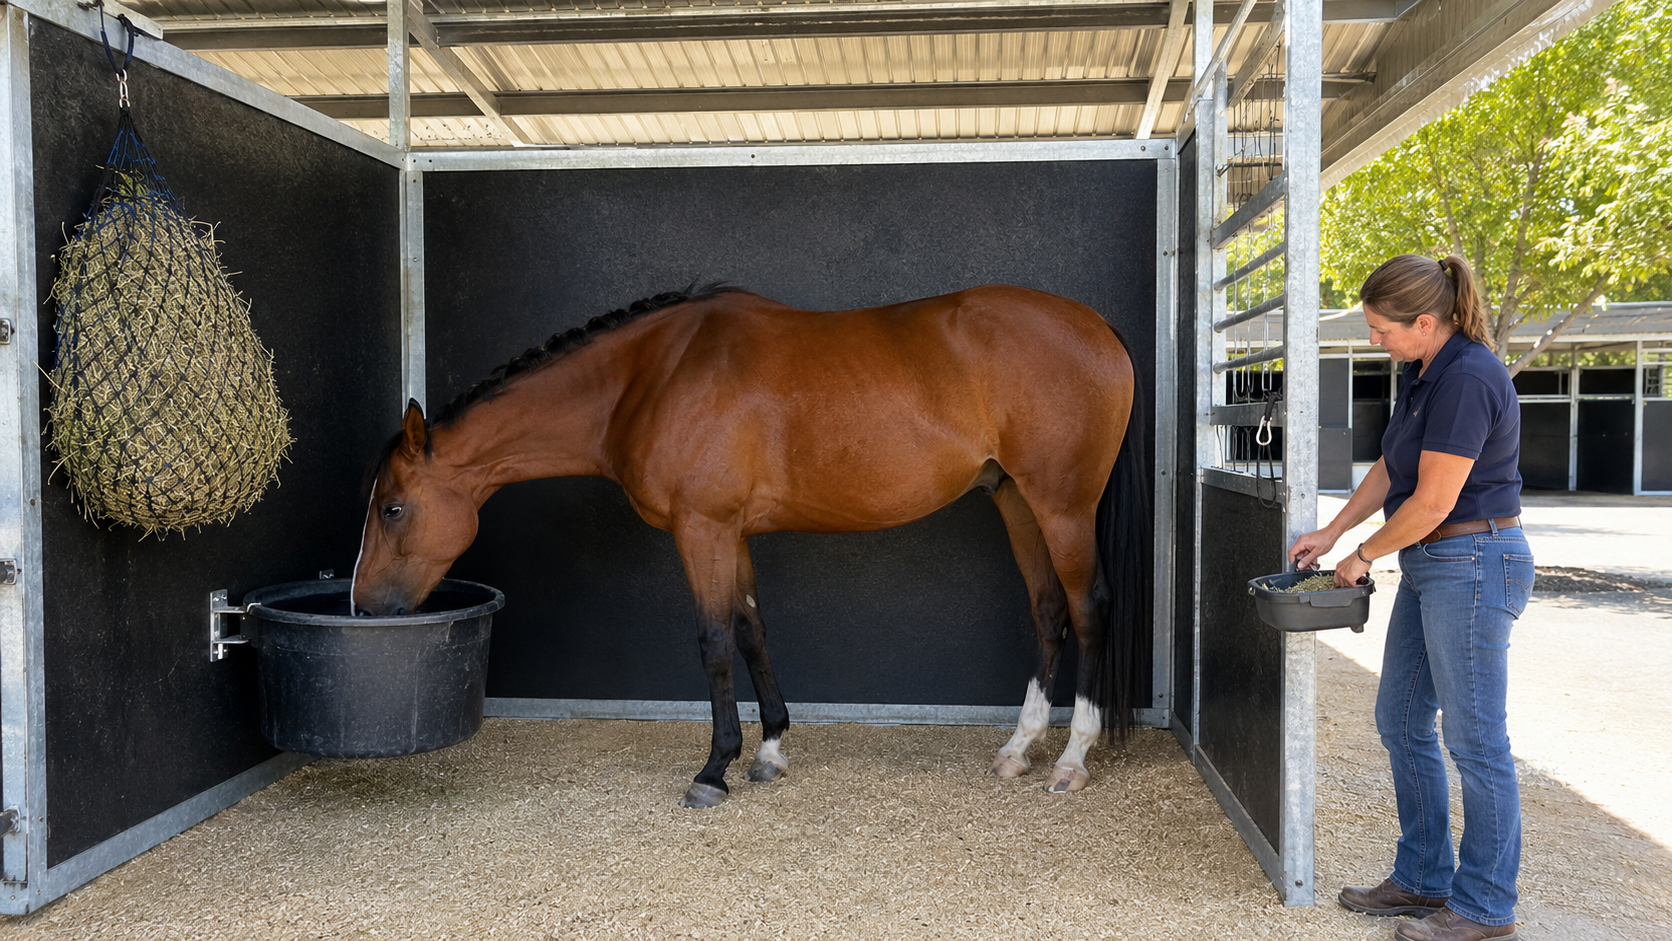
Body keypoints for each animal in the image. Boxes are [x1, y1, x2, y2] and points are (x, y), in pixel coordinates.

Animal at [351, 283, 1150, 809]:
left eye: (392, 507)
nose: (362, 607)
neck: (651, 377)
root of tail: (1097, 326)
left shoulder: (701, 527)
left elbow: (712, 640)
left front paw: (714, 768)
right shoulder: (731, 531)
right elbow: (751, 630)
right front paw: (769, 750)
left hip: (1062, 506)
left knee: (1088, 609)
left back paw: (1073, 757)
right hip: (1016, 500)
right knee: (1048, 610)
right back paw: (1019, 749)